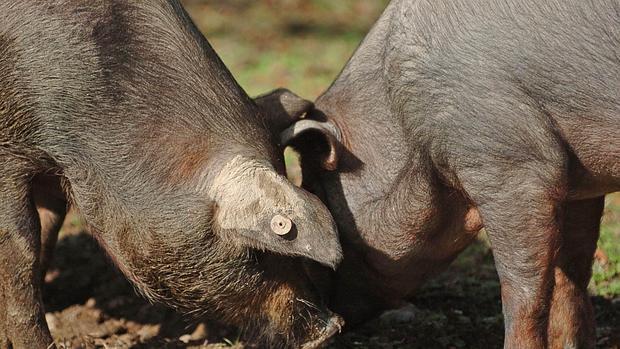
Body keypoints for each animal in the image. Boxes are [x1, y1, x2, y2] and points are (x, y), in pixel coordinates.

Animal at [282, 0, 620, 348]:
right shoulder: (579, 181)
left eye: (317, 193)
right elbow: (573, 274)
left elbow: (524, 288)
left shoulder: (511, 164)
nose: (318, 330)